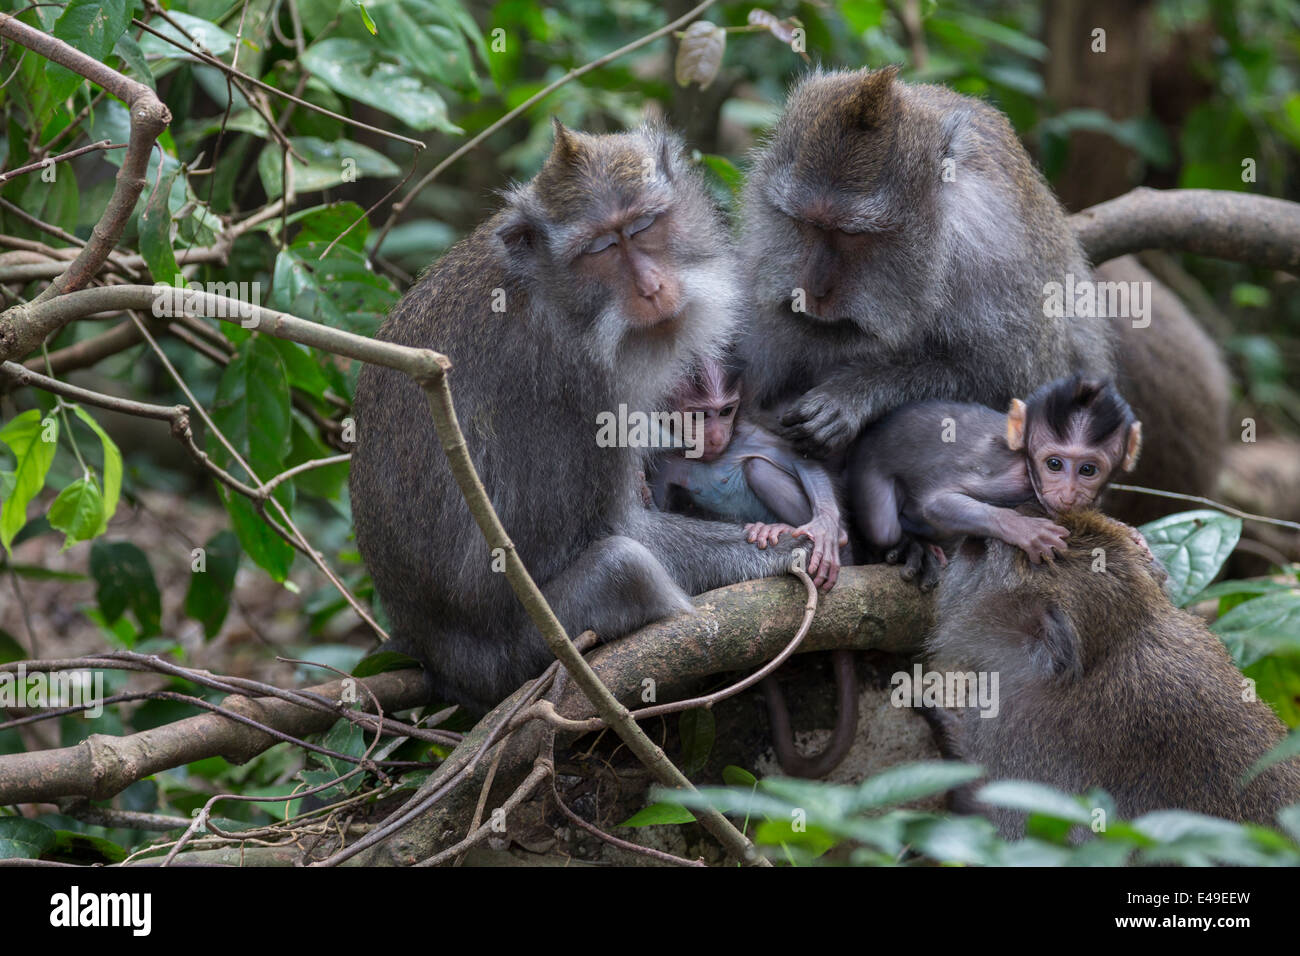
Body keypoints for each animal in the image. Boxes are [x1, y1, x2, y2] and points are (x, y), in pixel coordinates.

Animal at [351, 121, 806, 712]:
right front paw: (785, 549)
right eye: (600, 248)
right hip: (514, 659)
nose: (652, 287)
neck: (553, 300)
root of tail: (429, 654)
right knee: (624, 568)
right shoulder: (568, 384)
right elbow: (610, 532)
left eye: (644, 225)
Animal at [655, 356, 857, 780]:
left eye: (726, 411)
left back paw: (781, 530)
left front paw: (825, 524)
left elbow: (800, 461)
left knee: (759, 469)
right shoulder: (666, 462)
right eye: (699, 415)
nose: (717, 435)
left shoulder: (747, 434)